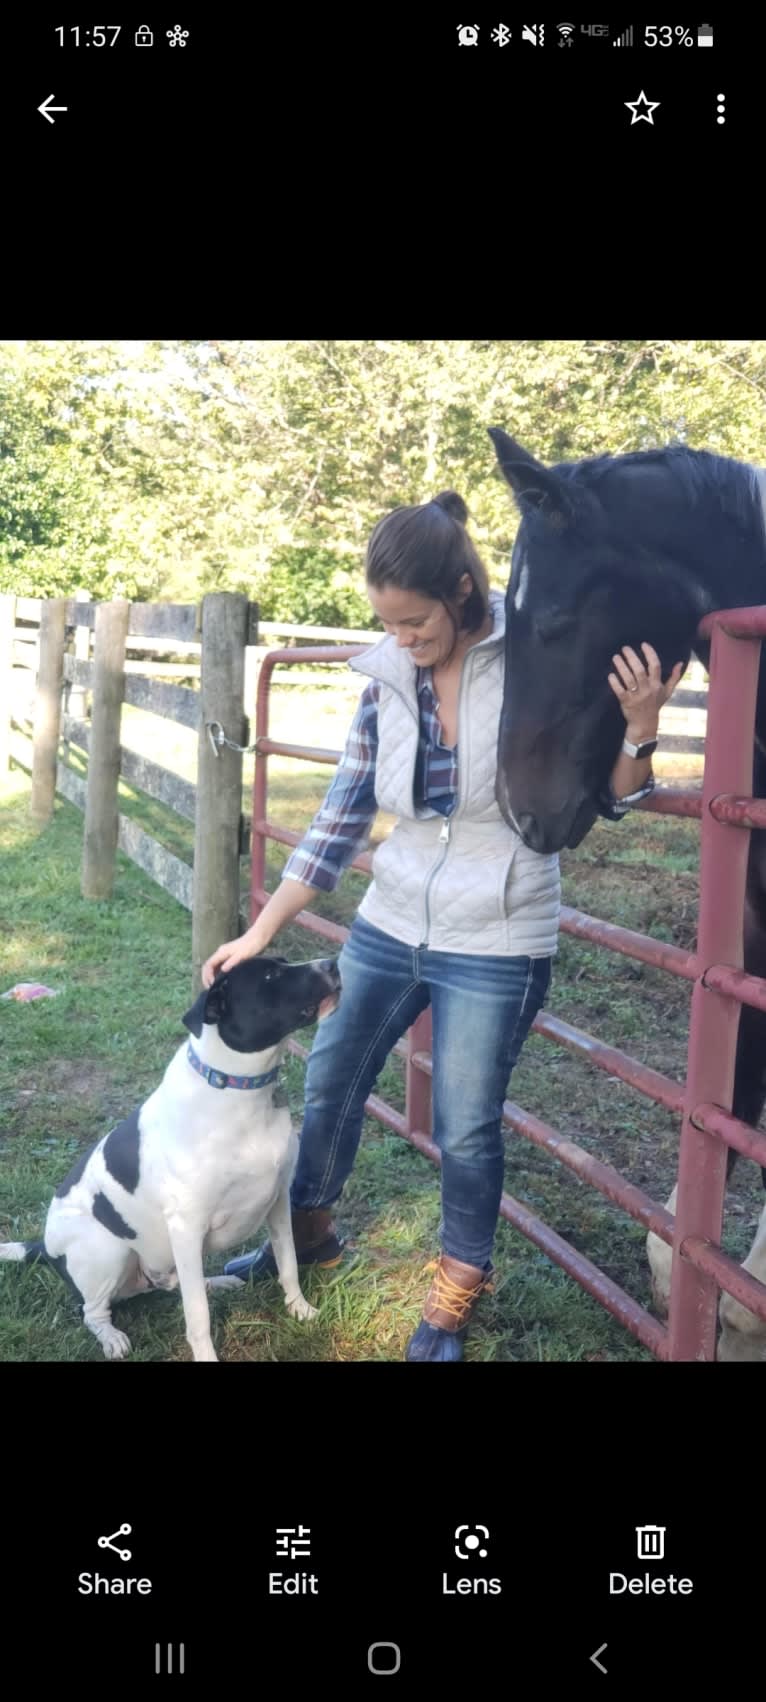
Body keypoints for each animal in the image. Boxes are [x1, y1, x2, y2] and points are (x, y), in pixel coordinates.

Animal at [0, 953, 340, 1361]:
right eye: (271, 975)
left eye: (283, 962)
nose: (333, 963)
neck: (239, 1090)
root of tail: (46, 1249)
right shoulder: (187, 1226)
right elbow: (198, 1315)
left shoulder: (278, 1203)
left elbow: (288, 1263)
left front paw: (300, 1309)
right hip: (108, 1249)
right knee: (91, 1311)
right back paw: (111, 1337)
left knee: (179, 1284)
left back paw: (216, 1281)